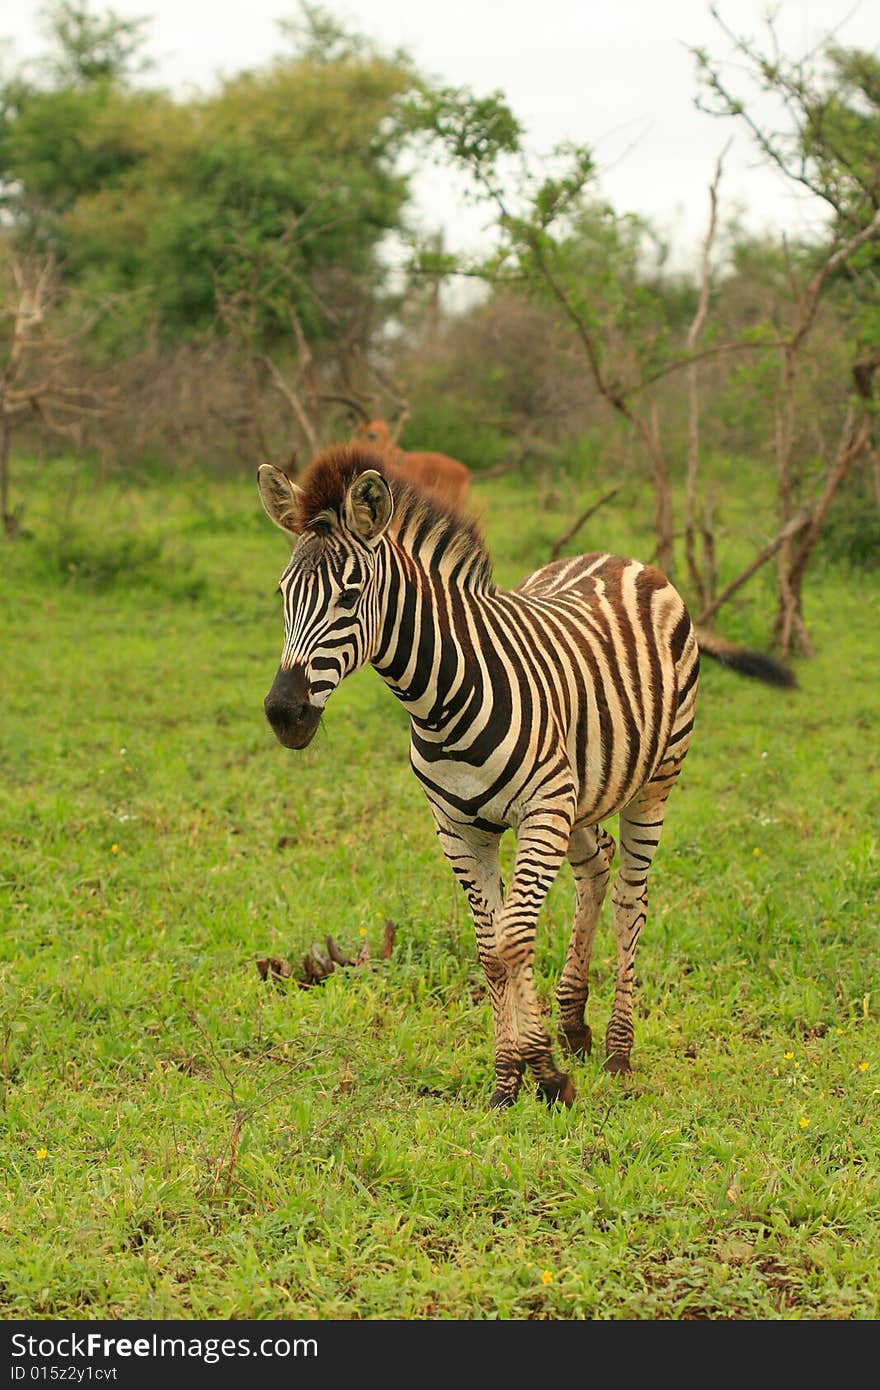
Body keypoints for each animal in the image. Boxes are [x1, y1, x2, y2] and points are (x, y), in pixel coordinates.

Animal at [257, 444, 795, 1106]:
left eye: (350, 597)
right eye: (283, 593)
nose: (284, 713)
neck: (439, 701)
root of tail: (622, 558)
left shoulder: (541, 811)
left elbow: (514, 939)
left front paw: (545, 1073)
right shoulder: (459, 828)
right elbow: (492, 950)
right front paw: (509, 1078)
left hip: (651, 783)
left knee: (631, 897)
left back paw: (618, 1051)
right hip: (585, 789)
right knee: (597, 867)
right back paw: (575, 1023)